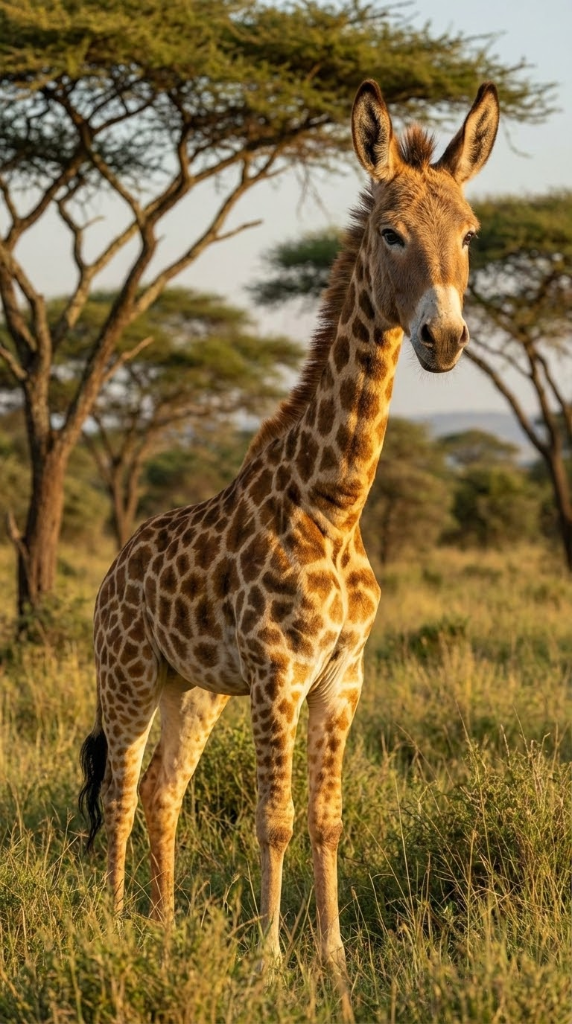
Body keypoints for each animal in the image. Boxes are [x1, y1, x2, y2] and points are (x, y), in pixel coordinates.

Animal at [80, 79, 499, 975]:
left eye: (471, 234)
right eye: (390, 232)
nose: (443, 338)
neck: (335, 506)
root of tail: (113, 567)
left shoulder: (343, 676)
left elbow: (327, 820)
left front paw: (333, 958)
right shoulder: (278, 673)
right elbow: (273, 820)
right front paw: (270, 961)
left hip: (194, 688)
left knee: (164, 792)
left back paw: (165, 929)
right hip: (126, 673)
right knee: (121, 792)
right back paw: (117, 924)